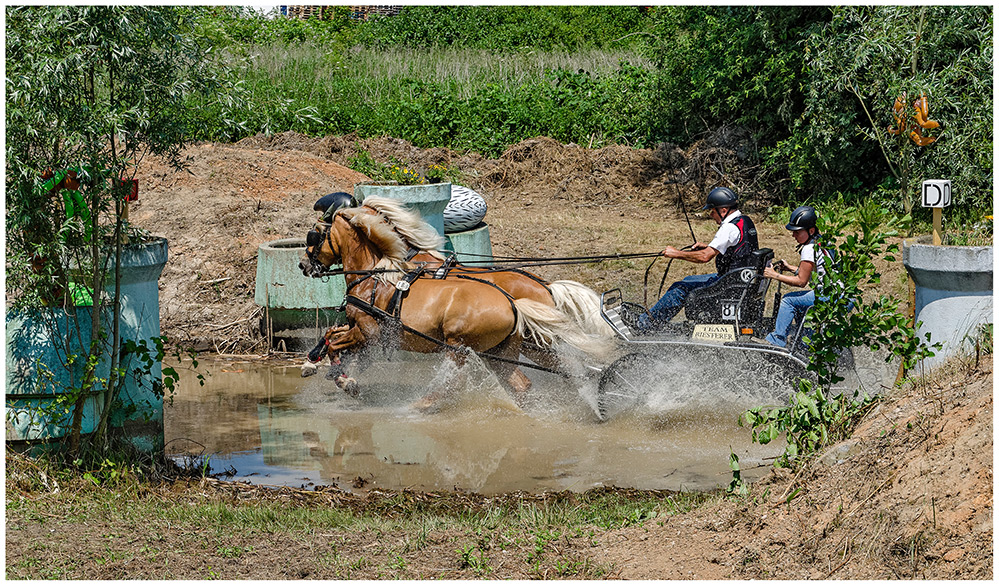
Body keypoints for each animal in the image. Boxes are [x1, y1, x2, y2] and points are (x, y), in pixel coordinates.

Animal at [296, 196, 612, 406]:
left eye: (314, 235)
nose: (302, 264)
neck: (379, 273)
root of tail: (541, 289)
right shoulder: (361, 330)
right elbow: (331, 335)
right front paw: (317, 362)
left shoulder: (369, 332)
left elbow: (338, 342)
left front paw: (342, 377)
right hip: (509, 349)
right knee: (539, 378)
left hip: (465, 346)